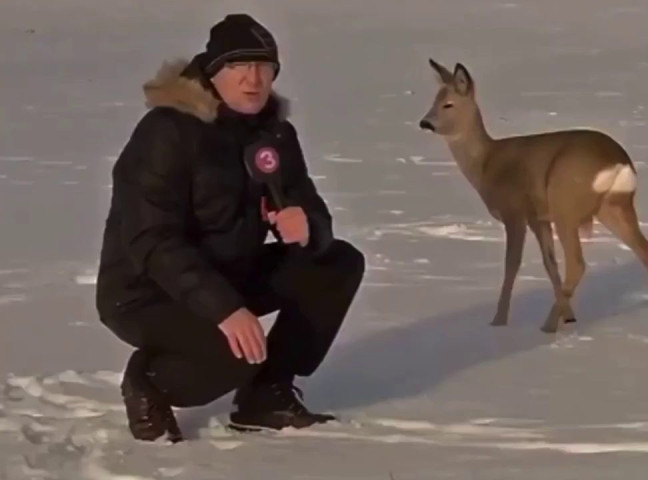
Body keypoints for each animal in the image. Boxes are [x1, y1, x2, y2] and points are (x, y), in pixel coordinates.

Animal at [419, 58, 648, 333]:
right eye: (435, 99)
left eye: (448, 103)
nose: (425, 123)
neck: (487, 164)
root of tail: (619, 162)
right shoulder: (538, 217)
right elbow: (550, 264)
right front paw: (569, 316)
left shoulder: (515, 211)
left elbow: (512, 265)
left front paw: (498, 321)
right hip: (614, 206)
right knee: (642, 250)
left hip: (565, 202)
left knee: (578, 263)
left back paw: (548, 326)